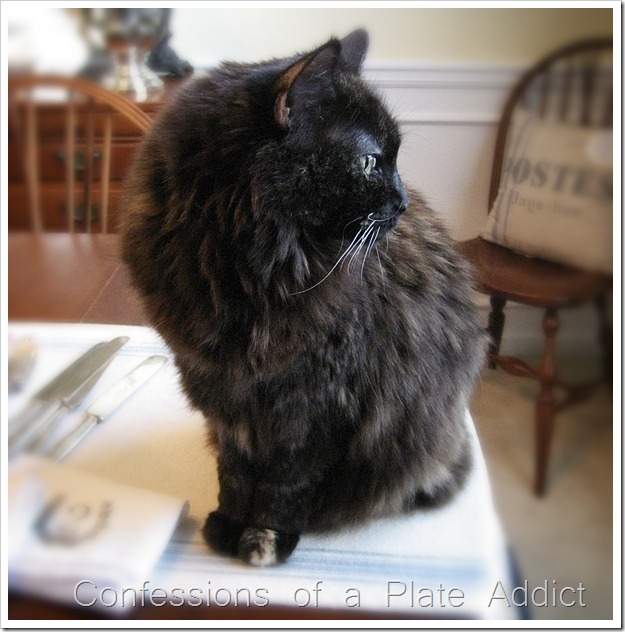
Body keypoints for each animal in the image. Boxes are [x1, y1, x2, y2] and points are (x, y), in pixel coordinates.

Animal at [122, 29, 486, 567]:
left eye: (395, 158)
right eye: (369, 161)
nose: (402, 202)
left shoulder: (312, 406)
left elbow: (283, 484)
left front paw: (265, 537)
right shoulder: (222, 394)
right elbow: (234, 472)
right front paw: (228, 524)